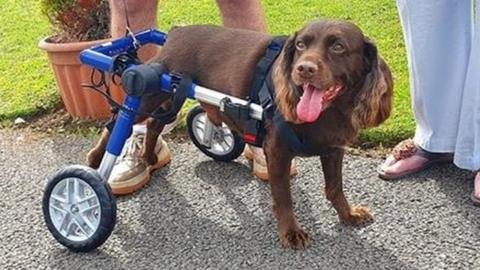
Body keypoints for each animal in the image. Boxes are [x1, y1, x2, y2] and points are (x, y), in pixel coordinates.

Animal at [87, 20, 394, 250]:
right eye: (300, 45)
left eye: (339, 46)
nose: (303, 69)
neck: (328, 113)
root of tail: (176, 31)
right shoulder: (278, 152)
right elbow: (284, 197)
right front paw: (290, 233)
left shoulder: (333, 149)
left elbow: (335, 188)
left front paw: (348, 215)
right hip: (149, 87)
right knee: (118, 123)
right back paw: (95, 161)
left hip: (172, 94)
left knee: (153, 125)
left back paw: (150, 156)